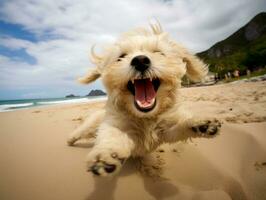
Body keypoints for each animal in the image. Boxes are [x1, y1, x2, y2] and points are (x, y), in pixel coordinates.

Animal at [67, 22, 221, 177]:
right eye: (121, 56)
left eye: (158, 52)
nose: (140, 60)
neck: (145, 117)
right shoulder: (115, 124)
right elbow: (112, 135)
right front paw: (106, 154)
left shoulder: (167, 131)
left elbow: (180, 127)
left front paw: (200, 124)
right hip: (90, 126)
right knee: (79, 132)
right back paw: (70, 140)